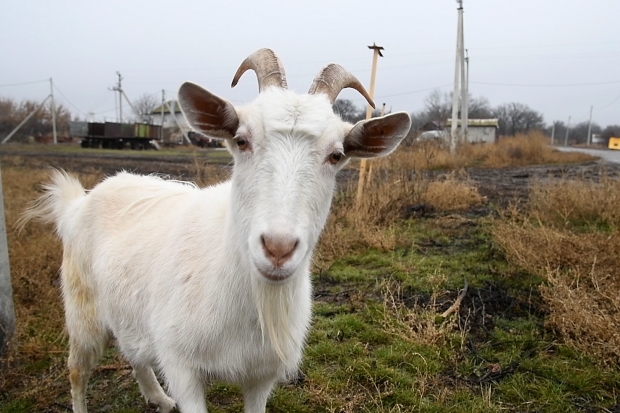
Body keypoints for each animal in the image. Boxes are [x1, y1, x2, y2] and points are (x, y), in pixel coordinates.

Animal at [21, 49, 412, 412]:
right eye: (241, 140)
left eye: (337, 154)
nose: (278, 248)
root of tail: (78, 203)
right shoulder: (181, 366)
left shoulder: (261, 376)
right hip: (82, 310)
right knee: (77, 370)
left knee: (135, 354)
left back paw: (159, 398)